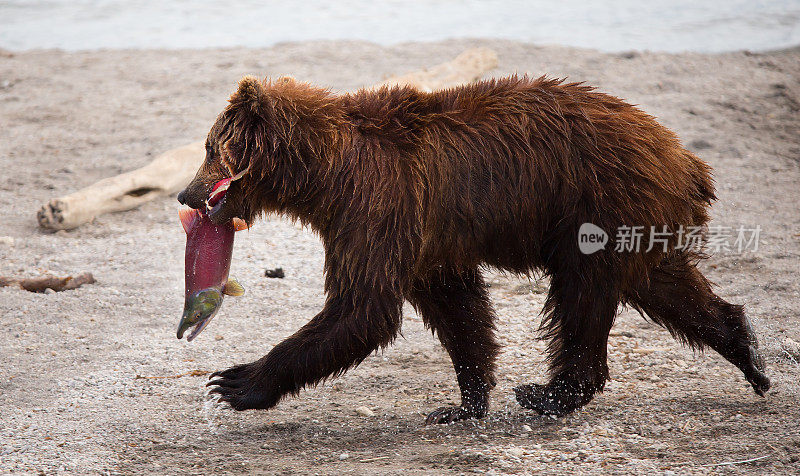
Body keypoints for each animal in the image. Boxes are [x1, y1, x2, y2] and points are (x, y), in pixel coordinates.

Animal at [180, 74, 768, 424]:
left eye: (208, 148)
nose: (185, 195)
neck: (325, 176)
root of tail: (684, 158)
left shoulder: (378, 208)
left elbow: (362, 308)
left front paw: (235, 381)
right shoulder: (425, 239)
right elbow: (459, 311)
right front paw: (463, 403)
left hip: (595, 210)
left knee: (581, 300)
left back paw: (548, 393)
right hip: (636, 223)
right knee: (669, 286)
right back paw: (749, 354)